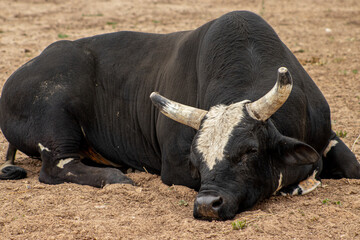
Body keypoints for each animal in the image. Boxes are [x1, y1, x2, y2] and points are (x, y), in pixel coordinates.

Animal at [0, 11, 360, 221]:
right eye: (195, 158)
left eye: (250, 151)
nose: (206, 205)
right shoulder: (173, 168)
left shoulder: (328, 136)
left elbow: (352, 169)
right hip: (54, 119)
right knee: (56, 167)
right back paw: (116, 178)